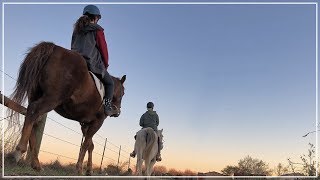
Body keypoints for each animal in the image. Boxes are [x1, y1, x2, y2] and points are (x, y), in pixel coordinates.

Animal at [8, 41, 126, 175]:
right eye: (123, 92)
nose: (117, 111)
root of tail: (54, 47)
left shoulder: (85, 124)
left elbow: (90, 145)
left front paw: (89, 170)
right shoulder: (97, 122)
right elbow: (86, 144)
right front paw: (79, 168)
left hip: (35, 95)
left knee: (32, 118)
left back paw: (36, 163)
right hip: (52, 99)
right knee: (33, 111)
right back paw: (20, 151)